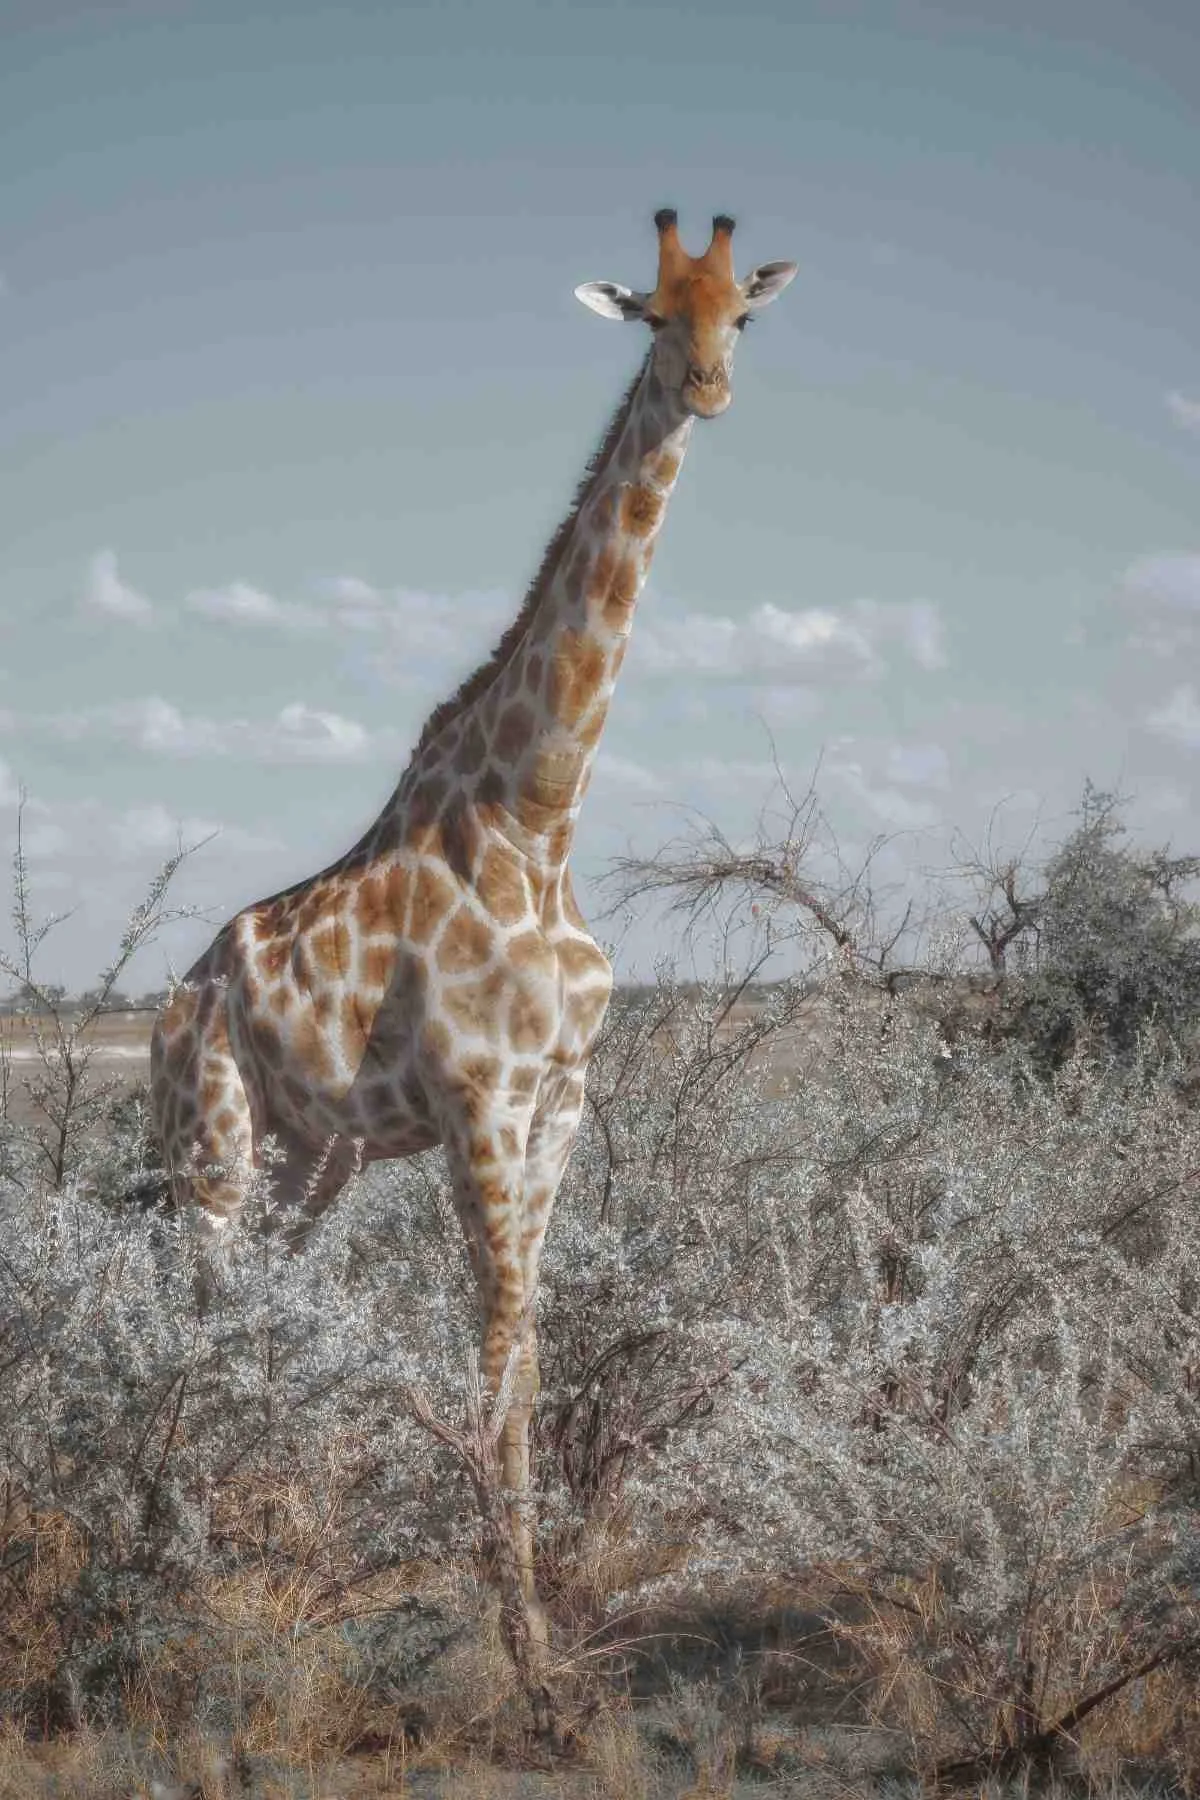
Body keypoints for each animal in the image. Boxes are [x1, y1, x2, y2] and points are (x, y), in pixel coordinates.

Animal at [149, 206, 796, 1628]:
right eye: (652, 317)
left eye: (742, 314)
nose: (711, 389)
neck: (537, 821)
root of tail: (170, 1007)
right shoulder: (477, 1104)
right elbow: (493, 1360)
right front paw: (522, 1636)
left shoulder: (558, 1102)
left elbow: (528, 1363)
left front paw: (530, 1616)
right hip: (209, 1142)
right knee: (192, 1315)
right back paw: (186, 1543)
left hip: (307, 1161)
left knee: (262, 1311)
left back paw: (255, 1529)